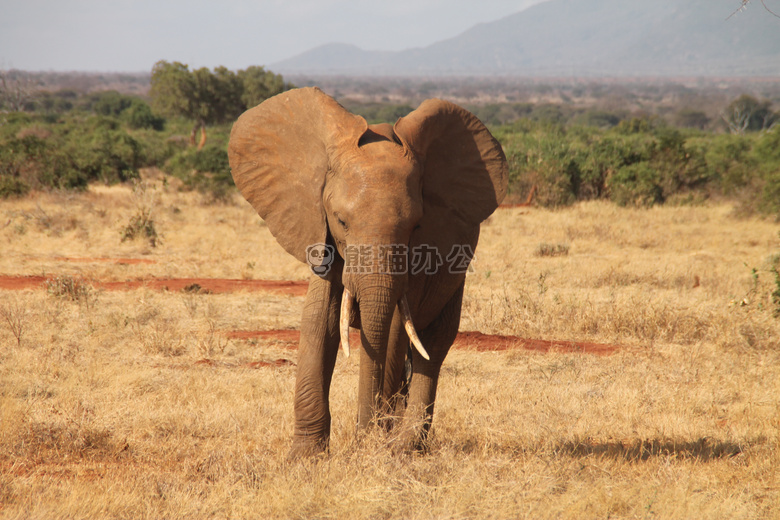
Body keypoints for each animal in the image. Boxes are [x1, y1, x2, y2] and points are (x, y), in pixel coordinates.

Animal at [227, 87, 506, 458]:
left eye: (416, 227)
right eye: (341, 221)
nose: (364, 435)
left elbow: (393, 330)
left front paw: (376, 445)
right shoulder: (322, 236)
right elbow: (320, 320)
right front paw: (306, 456)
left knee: (432, 345)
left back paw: (405, 445)